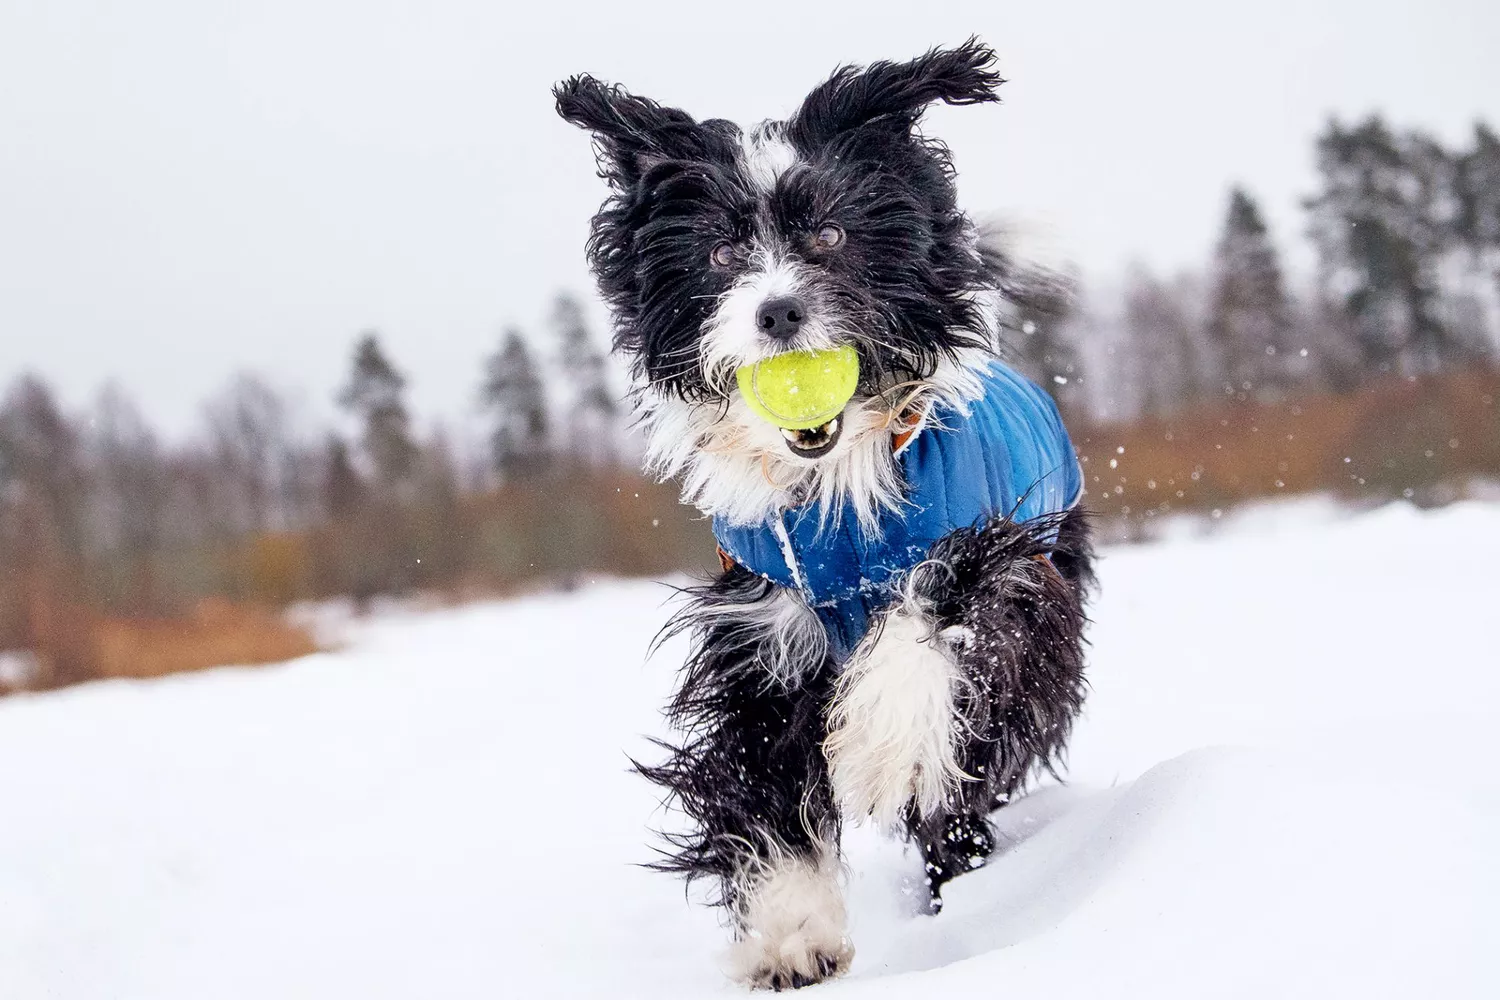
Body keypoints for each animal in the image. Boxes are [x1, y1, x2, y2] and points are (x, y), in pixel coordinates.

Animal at [558, 41, 1098, 995]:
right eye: (722, 249)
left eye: (833, 235)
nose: (778, 311)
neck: (838, 500)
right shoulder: (763, 627)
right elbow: (758, 770)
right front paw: (792, 934)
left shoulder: (1003, 566)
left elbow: (937, 612)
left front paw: (880, 742)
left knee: (970, 772)